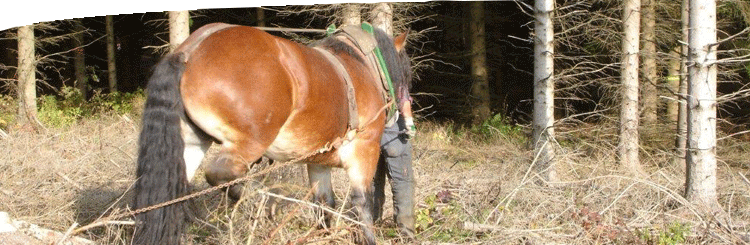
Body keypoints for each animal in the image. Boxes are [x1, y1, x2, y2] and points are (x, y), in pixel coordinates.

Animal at [130, 22, 412, 244]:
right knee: (222, 175)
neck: (363, 65)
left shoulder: (317, 162)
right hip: (250, 141)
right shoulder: (364, 151)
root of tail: (191, 49)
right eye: (405, 77)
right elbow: (362, 203)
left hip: (189, 145)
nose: (405, 121)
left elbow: (324, 204)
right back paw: (260, 202)